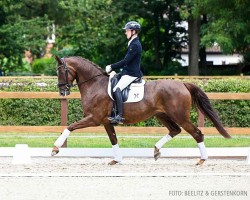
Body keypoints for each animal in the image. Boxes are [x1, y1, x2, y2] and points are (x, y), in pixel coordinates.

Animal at [51, 55, 231, 165]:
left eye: (60, 71)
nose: (62, 91)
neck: (95, 84)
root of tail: (183, 84)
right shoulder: (106, 122)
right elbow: (113, 139)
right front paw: (117, 160)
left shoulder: (94, 118)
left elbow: (69, 127)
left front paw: (55, 148)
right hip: (162, 115)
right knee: (175, 130)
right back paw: (157, 151)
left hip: (180, 116)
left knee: (197, 133)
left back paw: (202, 160)